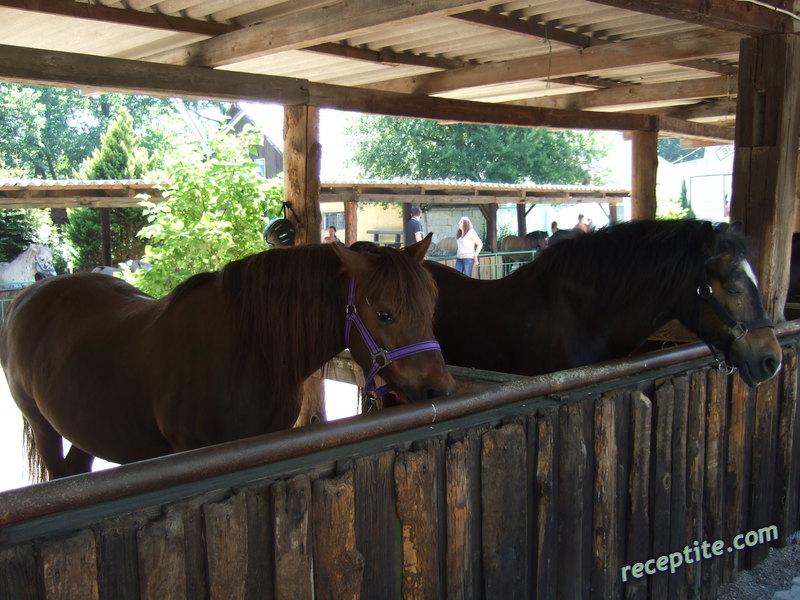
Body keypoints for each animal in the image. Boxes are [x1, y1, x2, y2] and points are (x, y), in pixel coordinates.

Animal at [0, 236, 454, 482]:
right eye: (384, 313)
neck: (246, 354)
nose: (440, 388)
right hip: (43, 428)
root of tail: (28, 295)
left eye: (432, 305)